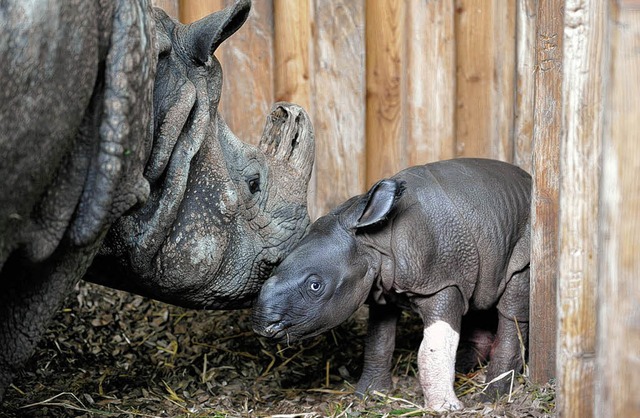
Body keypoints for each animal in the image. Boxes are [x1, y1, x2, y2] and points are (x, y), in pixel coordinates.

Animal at [254, 158, 528, 410]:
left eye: (315, 286)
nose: (263, 325)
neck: (373, 241)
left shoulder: (442, 281)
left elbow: (432, 347)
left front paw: (445, 407)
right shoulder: (382, 288)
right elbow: (378, 341)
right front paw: (367, 395)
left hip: (524, 242)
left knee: (511, 308)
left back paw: (491, 397)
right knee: (479, 298)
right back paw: (463, 368)